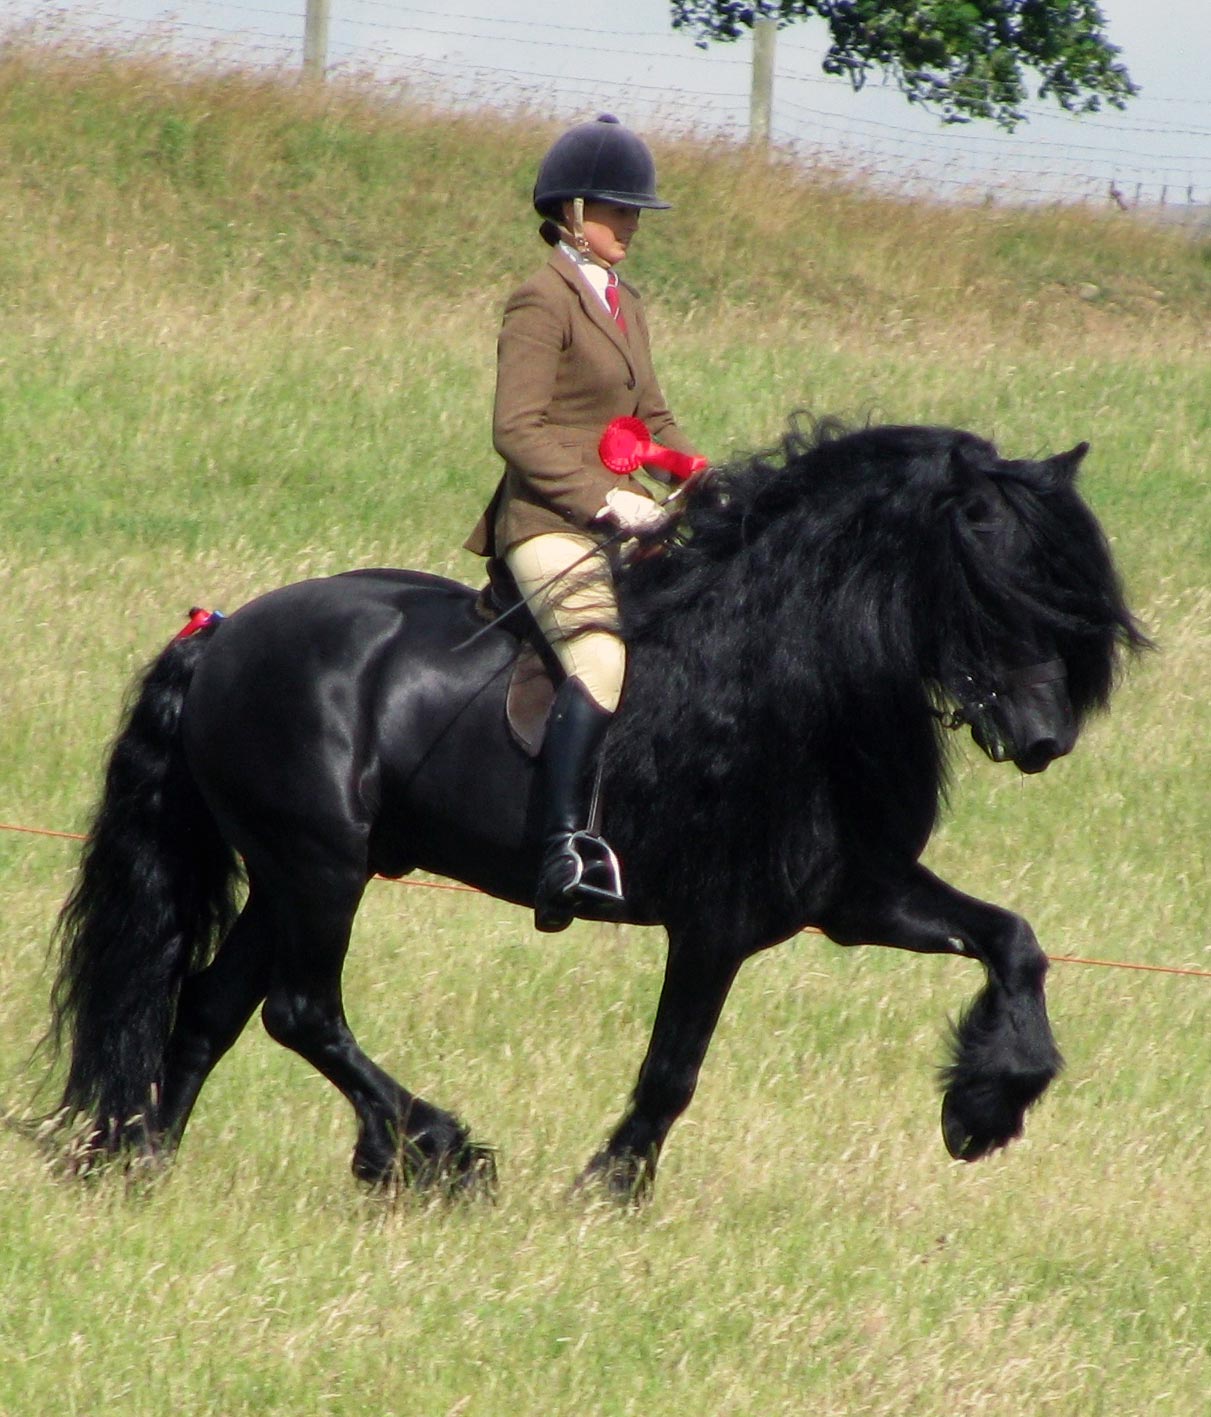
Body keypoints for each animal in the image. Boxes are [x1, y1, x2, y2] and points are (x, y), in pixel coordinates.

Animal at [47, 416, 1144, 1195]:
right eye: (990, 575)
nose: (1044, 738)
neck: (787, 670)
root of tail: (225, 632)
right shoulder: (716, 921)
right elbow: (672, 1068)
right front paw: (609, 1184)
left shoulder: (852, 892)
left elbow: (1012, 939)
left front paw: (985, 1104)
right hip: (316, 868)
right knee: (300, 1010)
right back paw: (436, 1151)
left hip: (293, 874)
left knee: (211, 1009)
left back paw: (144, 1163)